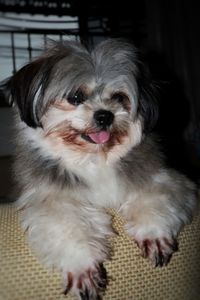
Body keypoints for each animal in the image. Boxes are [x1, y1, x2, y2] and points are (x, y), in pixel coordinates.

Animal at [5, 38, 197, 298]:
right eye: (76, 97)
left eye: (119, 97)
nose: (105, 115)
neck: (93, 159)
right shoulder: (51, 200)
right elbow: (66, 225)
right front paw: (81, 265)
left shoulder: (163, 179)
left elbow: (154, 201)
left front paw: (153, 234)